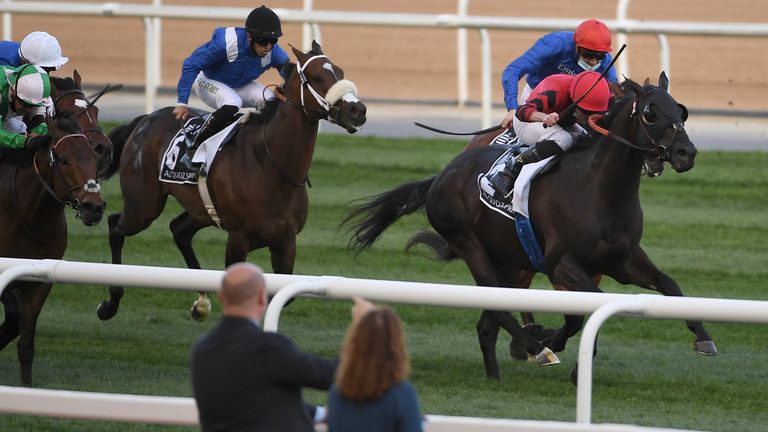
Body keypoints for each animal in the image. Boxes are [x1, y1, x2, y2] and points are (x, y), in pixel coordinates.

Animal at [0, 112, 105, 384]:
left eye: (95, 157)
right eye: (63, 159)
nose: (94, 208)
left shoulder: (40, 281)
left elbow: (25, 343)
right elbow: (14, 317)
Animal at [97, 41, 368, 320]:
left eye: (340, 71)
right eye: (316, 77)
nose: (357, 110)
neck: (271, 165)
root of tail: (145, 119)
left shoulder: (285, 240)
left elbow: (282, 294)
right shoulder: (239, 239)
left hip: (201, 209)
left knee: (178, 230)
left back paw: (201, 302)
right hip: (143, 206)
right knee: (116, 225)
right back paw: (110, 303)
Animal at [344, 74, 716, 382]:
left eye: (680, 110)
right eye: (651, 113)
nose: (686, 153)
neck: (598, 188)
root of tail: (440, 177)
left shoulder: (623, 261)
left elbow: (668, 284)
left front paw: (704, 337)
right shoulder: (560, 262)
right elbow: (589, 308)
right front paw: (558, 347)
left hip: (507, 260)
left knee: (488, 321)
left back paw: (496, 374)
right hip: (469, 245)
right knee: (496, 305)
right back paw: (538, 349)